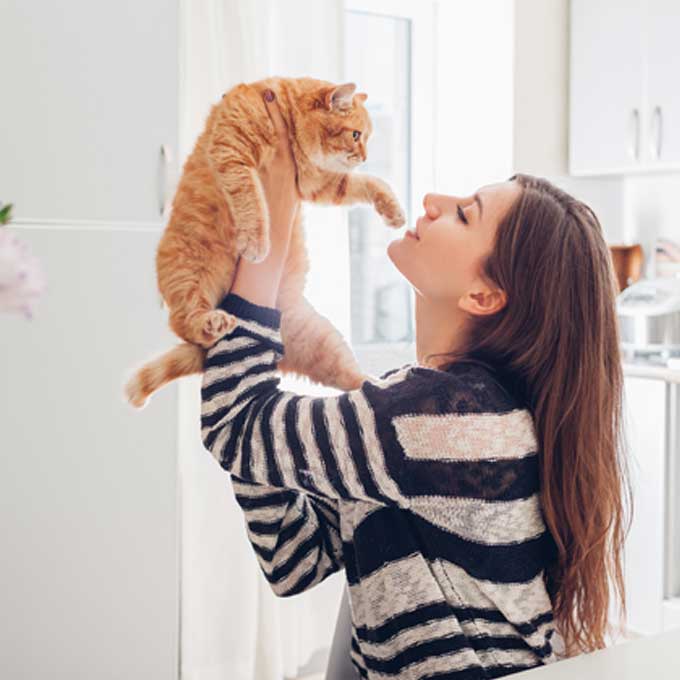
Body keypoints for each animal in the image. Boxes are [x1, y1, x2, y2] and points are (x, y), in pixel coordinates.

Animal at [123, 77, 404, 406]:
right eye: (356, 135)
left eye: (366, 138)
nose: (365, 157)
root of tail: (280, 353)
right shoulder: (233, 153)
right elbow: (251, 201)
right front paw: (256, 242)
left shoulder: (316, 183)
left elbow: (368, 183)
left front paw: (394, 211)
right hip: (190, 277)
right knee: (185, 322)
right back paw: (212, 322)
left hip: (324, 342)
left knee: (352, 378)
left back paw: (383, 384)